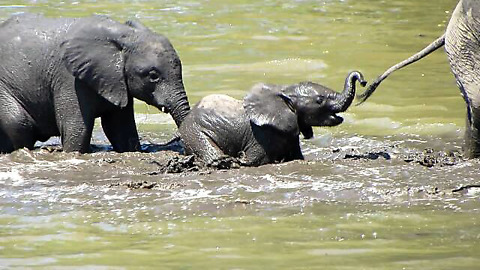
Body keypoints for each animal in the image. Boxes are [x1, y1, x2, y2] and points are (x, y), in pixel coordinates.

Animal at [0, 13, 189, 153]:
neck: (124, 34)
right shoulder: (70, 79)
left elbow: (121, 129)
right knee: (19, 124)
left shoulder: (118, 80)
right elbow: (77, 130)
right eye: (153, 75)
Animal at [178, 70, 366, 166]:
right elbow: (256, 160)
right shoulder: (260, 135)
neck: (284, 92)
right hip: (193, 132)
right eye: (319, 100)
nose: (363, 80)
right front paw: (241, 160)